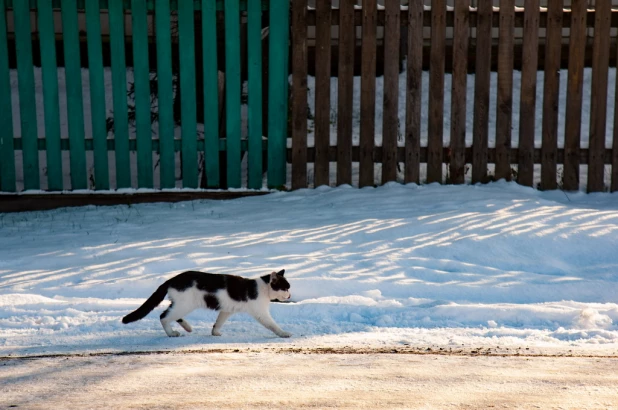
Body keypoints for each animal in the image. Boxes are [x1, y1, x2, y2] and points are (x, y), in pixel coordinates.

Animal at [124, 268, 292, 338]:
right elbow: (273, 325)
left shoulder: (227, 309)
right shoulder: (261, 313)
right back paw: (172, 333)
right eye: (285, 287)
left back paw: (187, 327)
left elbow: (219, 321)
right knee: (163, 316)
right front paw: (284, 333)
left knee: (168, 314)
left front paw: (215, 332)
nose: (290, 294)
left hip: (180, 305)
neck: (263, 288)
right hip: (185, 304)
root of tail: (172, 279)